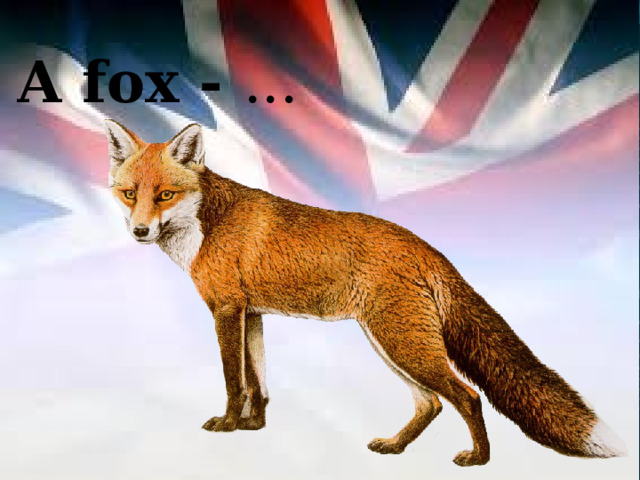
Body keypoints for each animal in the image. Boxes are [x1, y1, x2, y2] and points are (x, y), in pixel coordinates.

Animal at [105, 119, 626, 466]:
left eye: (165, 195)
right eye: (130, 194)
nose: (139, 231)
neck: (206, 226)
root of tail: (426, 247)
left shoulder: (226, 311)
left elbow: (235, 382)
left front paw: (230, 425)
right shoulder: (250, 314)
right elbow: (259, 382)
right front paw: (255, 426)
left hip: (401, 343)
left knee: (467, 396)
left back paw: (479, 459)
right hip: (389, 343)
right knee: (431, 403)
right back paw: (396, 447)